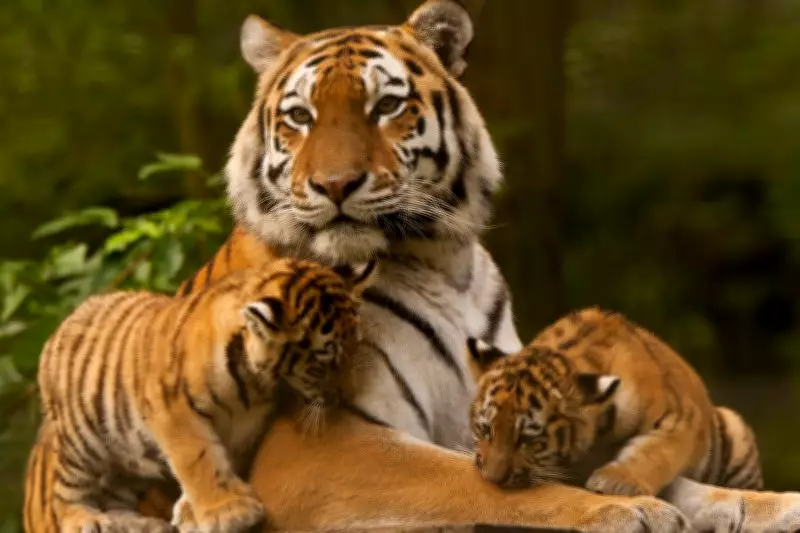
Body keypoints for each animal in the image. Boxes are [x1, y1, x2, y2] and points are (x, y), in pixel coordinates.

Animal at [25, 257, 375, 533]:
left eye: (356, 344)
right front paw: (228, 511)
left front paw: (194, 512)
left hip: (129, 453)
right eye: (323, 361)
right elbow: (199, 459)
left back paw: (137, 523)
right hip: (83, 440)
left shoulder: (247, 423)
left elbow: (223, 458)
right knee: (64, 488)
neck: (254, 382)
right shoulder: (173, 409)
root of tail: (66, 321)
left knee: (116, 491)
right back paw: (84, 519)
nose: (348, 395)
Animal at [467, 307, 764, 498]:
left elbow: (654, 452)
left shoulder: (677, 418)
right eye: (486, 429)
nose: (493, 479)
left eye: (527, 439)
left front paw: (615, 481)